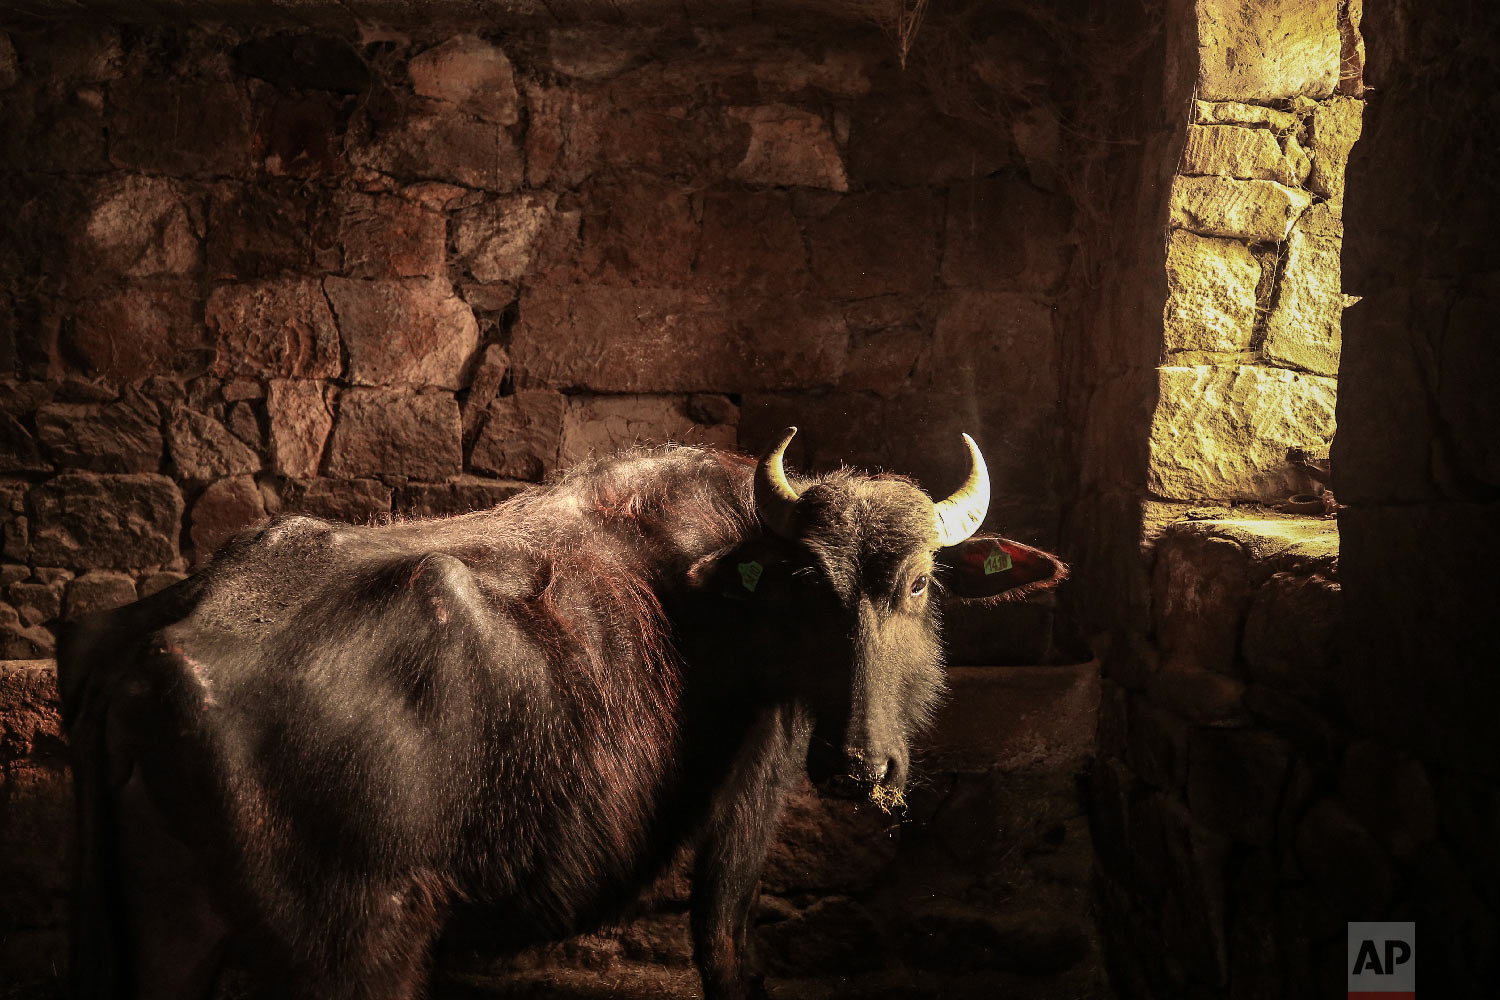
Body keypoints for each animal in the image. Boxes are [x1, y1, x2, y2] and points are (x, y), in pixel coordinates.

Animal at [58, 428, 1068, 1000]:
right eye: (810, 588)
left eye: (919, 583)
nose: (860, 768)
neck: (727, 588)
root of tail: (151, 660)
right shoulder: (762, 768)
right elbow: (726, 947)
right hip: (355, 955)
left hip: (159, 944)